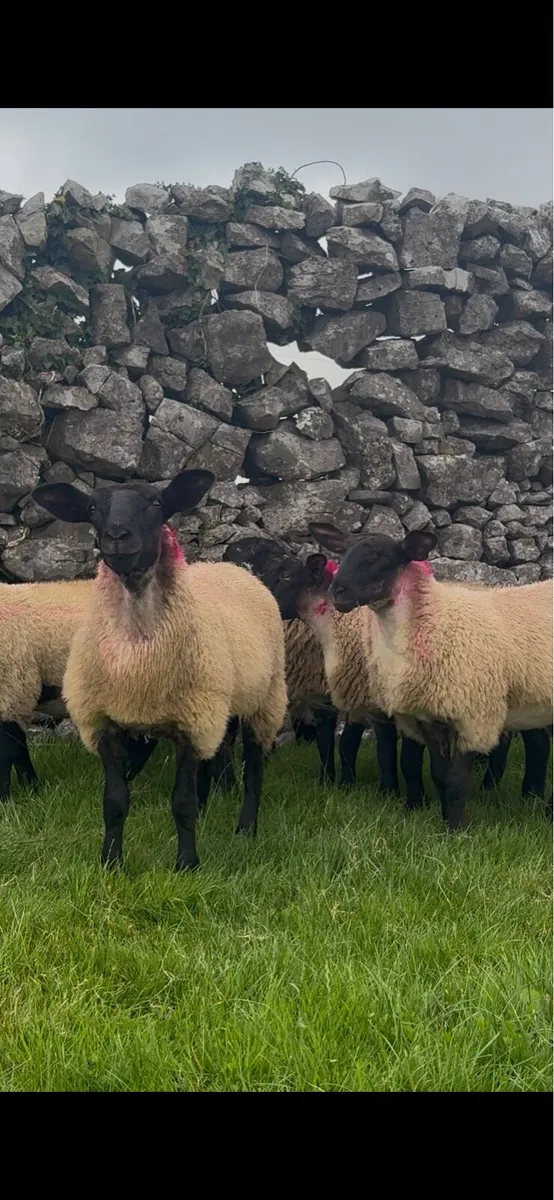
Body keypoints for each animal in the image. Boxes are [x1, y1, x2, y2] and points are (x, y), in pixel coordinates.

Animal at [0, 578, 158, 799]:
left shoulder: (12, 691)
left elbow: (8, 752)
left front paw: (6, 798)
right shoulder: (16, 697)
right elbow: (19, 749)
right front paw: (32, 789)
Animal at [32, 469, 287, 871]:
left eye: (155, 503)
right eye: (93, 508)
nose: (117, 536)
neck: (139, 653)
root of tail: (229, 566)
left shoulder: (190, 723)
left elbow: (180, 802)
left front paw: (187, 864)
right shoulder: (104, 723)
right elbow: (114, 802)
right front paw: (111, 863)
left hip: (265, 700)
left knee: (254, 772)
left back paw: (246, 828)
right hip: (219, 707)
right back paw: (208, 809)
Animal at [223, 536, 429, 807]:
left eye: (286, 575)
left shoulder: (353, 694)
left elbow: (351, 742)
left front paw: (358, 786)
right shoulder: (329, 693)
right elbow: (331, 741)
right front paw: (332, 782)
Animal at [309, 521, 553, 829]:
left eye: (381, 557)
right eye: (342, 552)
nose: (338, 592)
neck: (435, 620)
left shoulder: (473, 715)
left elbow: (456, 781)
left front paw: (458, 830)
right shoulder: (429, 717)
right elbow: (440, 776)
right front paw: (445, 823)